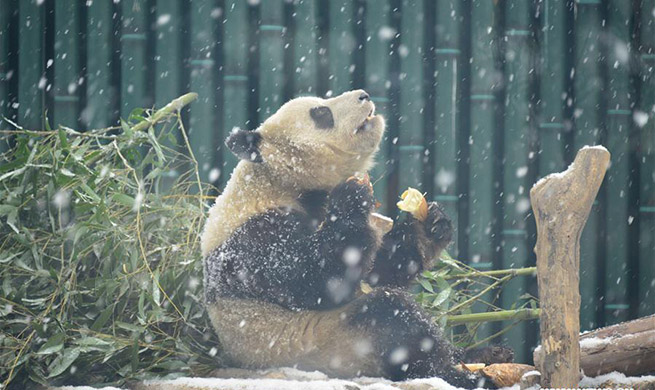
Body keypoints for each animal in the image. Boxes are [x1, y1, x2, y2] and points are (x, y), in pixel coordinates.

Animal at [202, 90, 504, 386]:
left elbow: (377, 272)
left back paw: (486, 354)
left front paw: (430, 224)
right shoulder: (254, 238)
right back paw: (457, 373)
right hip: (331, 345)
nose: (364, 95)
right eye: (321, 113)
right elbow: (314, 280)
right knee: (393, 318)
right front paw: (351, 199)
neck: (278, 180)